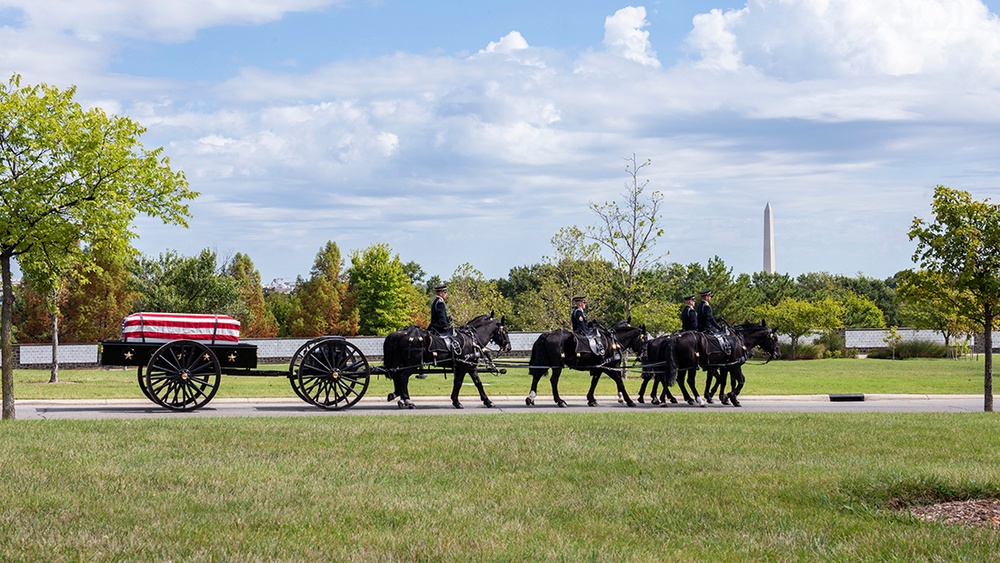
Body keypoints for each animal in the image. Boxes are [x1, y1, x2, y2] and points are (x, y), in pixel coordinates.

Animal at [378, 312, 512, 410]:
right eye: (505, 330)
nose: (508, 347)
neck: (472, 339)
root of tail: (399, 333)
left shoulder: (470, 367)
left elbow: (478, 383)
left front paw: (487, 401)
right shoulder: (464, 367)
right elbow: (459, 383)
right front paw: (457, 402)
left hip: (401, 363)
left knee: (397, 377)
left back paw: (398, 397)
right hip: (412, 365)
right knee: (402, 378)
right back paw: (408, 401)